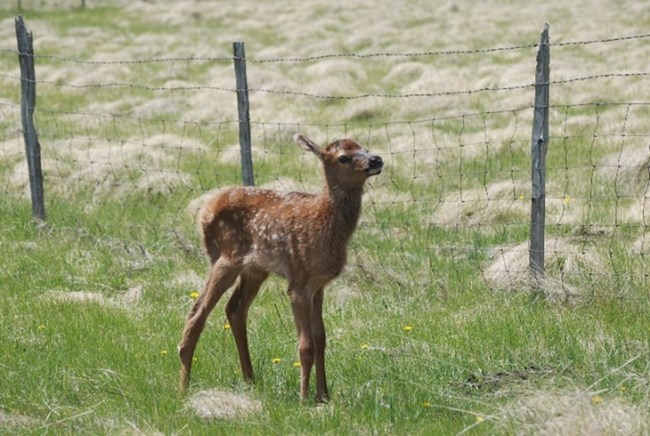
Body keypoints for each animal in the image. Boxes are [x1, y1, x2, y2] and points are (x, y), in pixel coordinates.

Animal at [177, 134, 382, 402]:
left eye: (364, 148)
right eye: (343, 158)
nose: (376, 159)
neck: (325, 224)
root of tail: (205, 210)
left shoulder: (319, 285)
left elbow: (320, 339)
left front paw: (324, 396)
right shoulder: (299, 281)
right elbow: (305, 345)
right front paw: (304, 398)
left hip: (255, 270)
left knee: (234, 309)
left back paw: (250, 379)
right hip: (226, 258)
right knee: (196, 313)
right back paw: (183, 386)